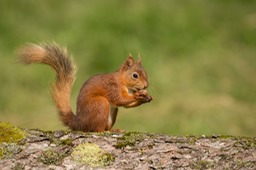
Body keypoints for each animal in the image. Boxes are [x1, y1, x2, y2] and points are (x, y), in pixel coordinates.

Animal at [18, 42, 154, 131]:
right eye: (135, 75)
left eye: (146, 73)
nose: (146, 85)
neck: (122, 82)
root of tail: (80, 123)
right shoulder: (112, 87)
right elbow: (120, 99)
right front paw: (139, 95)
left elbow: (125, 105)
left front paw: (145, 97)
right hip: (100, 103)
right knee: (96, 130)